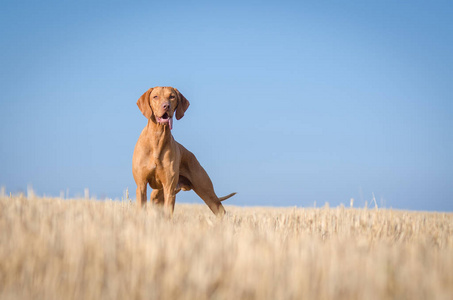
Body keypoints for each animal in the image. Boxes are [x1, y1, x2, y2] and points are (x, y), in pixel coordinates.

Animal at [132, 86, 235, 216]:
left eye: (172, 96)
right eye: (155, 96)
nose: (166, 106)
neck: (157, 138)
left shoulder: (169, 189)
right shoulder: (141, 185)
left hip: (209, 195)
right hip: (156, 196)